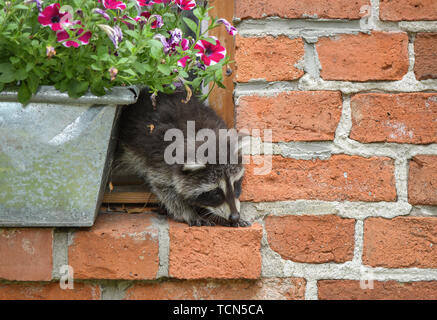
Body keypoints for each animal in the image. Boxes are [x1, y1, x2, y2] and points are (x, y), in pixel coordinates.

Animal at [114, 89, 249, 226]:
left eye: (236, 185)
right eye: (215, 192)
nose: (234, 216)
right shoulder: (159, 158)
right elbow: (166, 189)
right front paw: (189, 212)